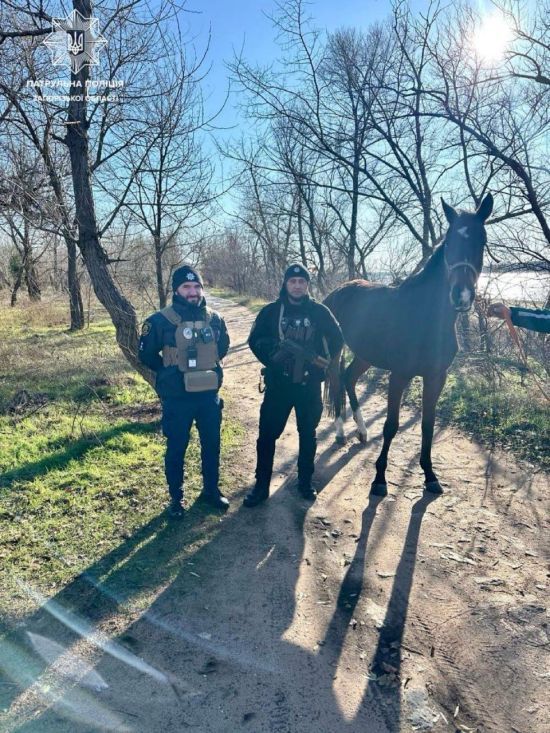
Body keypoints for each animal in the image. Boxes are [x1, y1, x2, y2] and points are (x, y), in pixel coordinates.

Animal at [324, 193, 496, 498]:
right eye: (449, 242)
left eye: (482, 240)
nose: (461, 296)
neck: (425, 318)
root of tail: (339, 290)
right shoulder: (400, 375)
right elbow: (391, 425)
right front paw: (379, 479)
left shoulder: (436, 377)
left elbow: (428, 425)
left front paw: (430, 476)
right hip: (337, 352)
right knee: (335, 381)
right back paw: (341, 432)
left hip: (365, 355)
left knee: (348, 378)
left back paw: (362, 431)